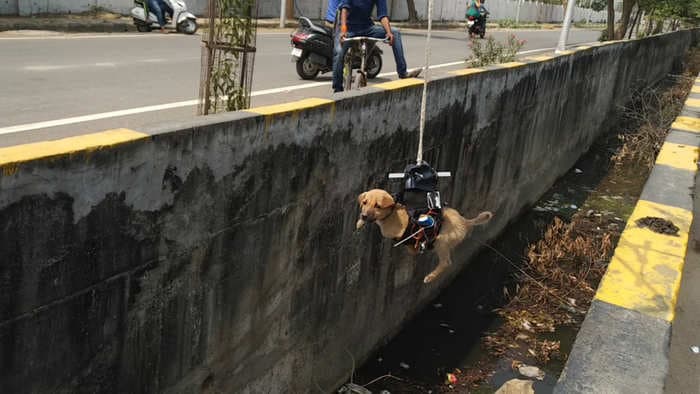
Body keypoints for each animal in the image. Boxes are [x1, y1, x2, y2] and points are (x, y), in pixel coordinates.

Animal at [356, 189, 492, 284]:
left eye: (378, 206)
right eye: (364, 202)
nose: (363, 215)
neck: (391, 213)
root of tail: (464, 221)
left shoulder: (402, 233)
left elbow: (408, 243)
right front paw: (360, 222)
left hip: (441, 242)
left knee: (446, 262)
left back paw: (430, 276)